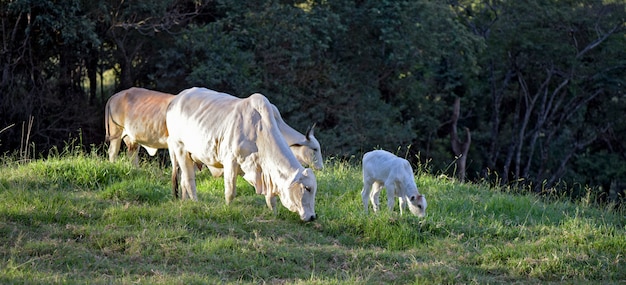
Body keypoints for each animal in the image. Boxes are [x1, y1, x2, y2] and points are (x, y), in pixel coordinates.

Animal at [103, 87, 322, 170]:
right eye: (314, 149)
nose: (321, 167)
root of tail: (115, 96)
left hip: (130, 139)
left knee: (132, 153)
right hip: (115, 133)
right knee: (112, 153)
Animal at [166, 87, 316, 221]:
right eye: (307, 188)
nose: (313, 217)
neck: (259, 131)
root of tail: (176, 99)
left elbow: (271, 199)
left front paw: (274, 214)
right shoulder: (230, 161)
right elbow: (230, 192)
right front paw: (228, 209)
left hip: (191, 156)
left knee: (183, 180)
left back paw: (185, 202)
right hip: (180, 148)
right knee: (189, 180)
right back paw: (195, 203)